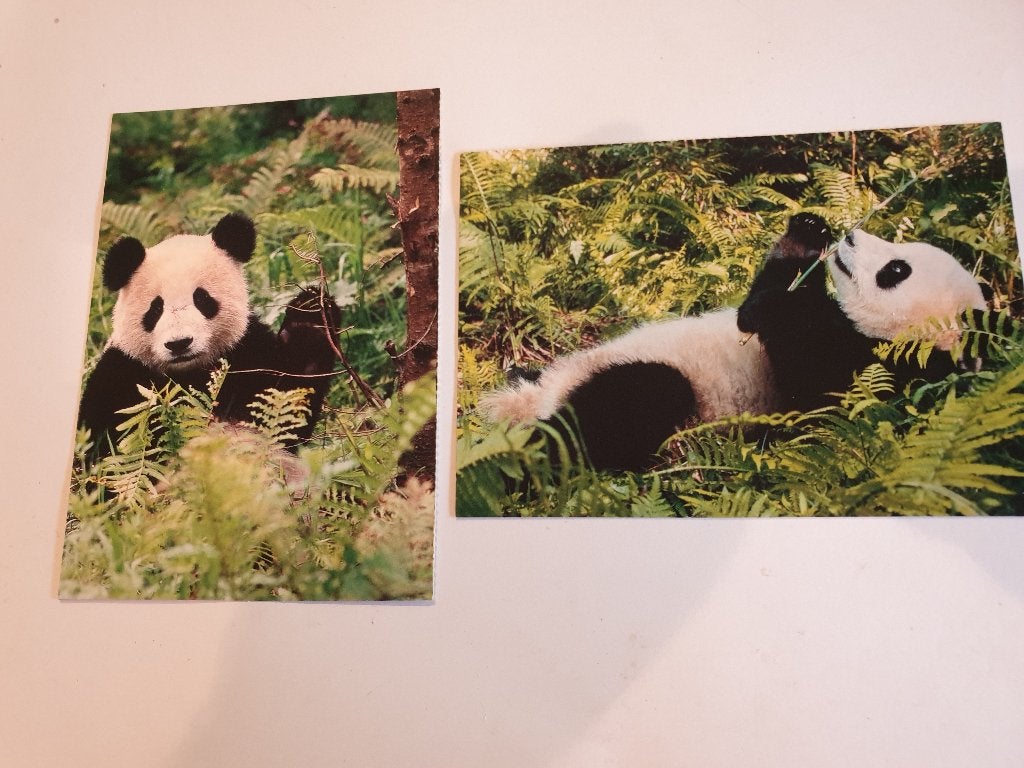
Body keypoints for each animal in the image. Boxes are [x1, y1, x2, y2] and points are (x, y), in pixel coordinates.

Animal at [78, 212, 341, 455]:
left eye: (202, 299)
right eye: (155, 309)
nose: (179, 343)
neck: (190, 375)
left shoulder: (248, 352)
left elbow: (285, 408)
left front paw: (310, 318)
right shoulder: (123, 371)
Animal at [481, 213, 987, 472]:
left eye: (896, 269)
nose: (848, 236)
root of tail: (541, 397)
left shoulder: (877, 376)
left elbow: (820, 393)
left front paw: (774, 311)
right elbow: (774, 288)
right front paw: (805, 234)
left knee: (618, 411)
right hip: (561, 370)